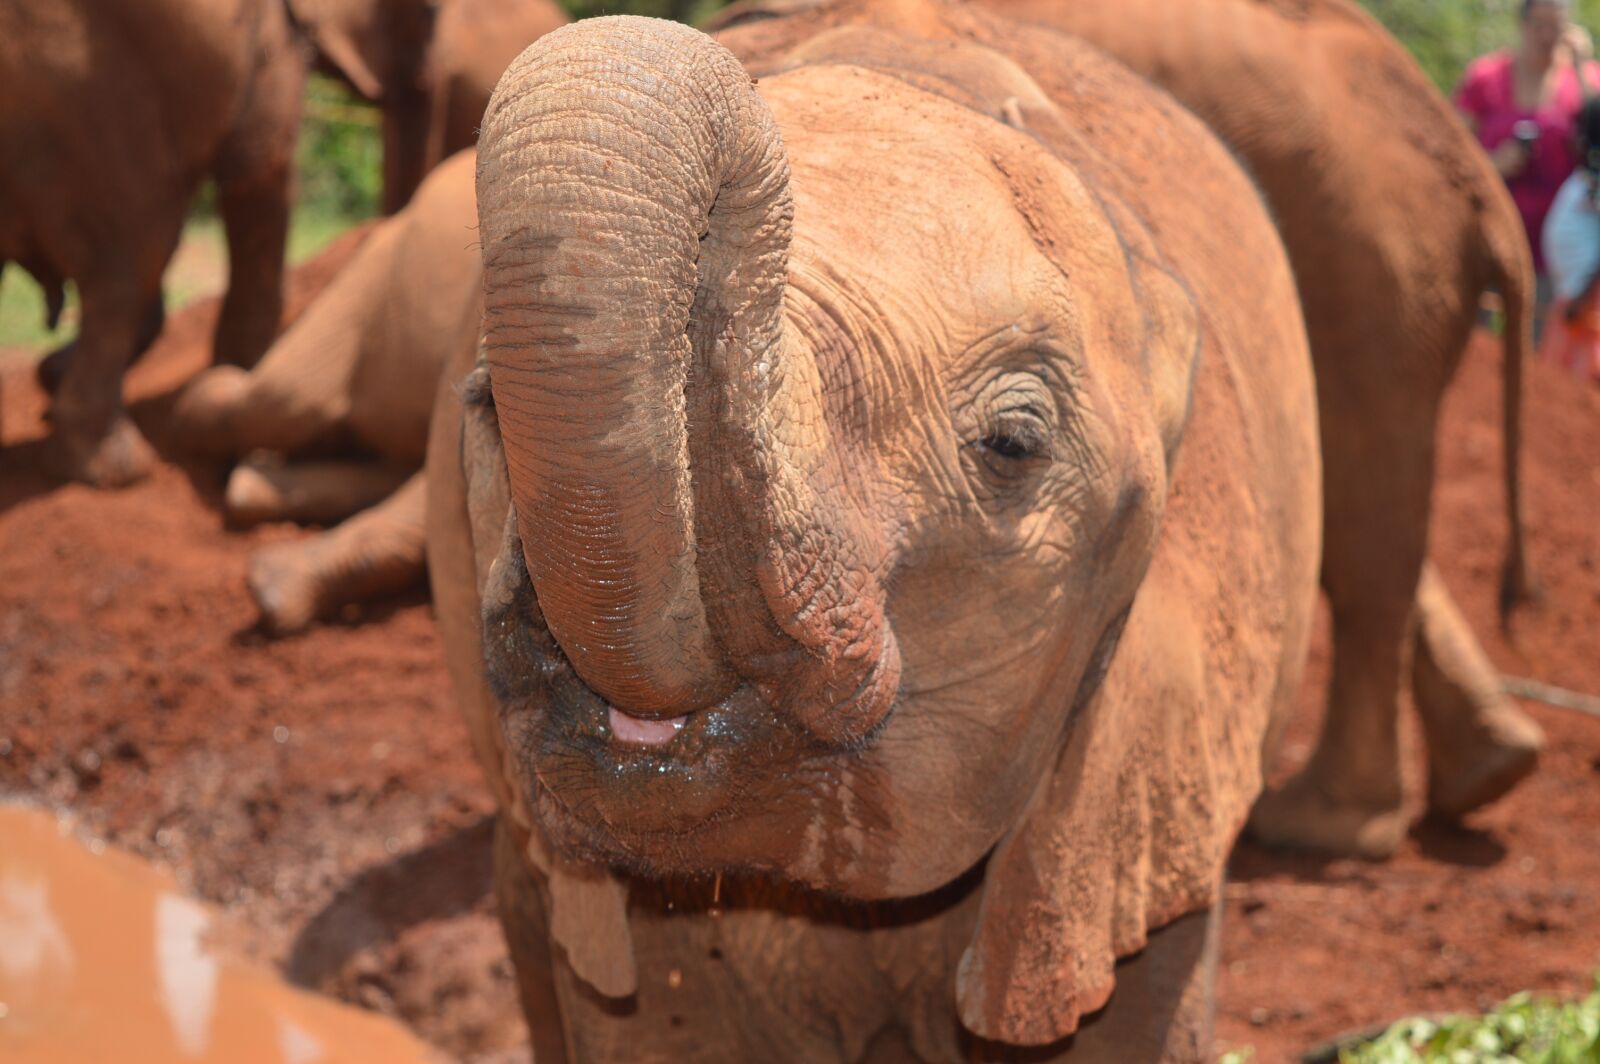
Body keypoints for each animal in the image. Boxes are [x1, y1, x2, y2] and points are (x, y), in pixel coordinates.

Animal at [968, 0, 1545, 858]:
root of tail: (1480, 183)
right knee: (1371, 514)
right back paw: (1486, 774)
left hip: (1363, 269)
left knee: (1362, 516)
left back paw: (1319, 827)